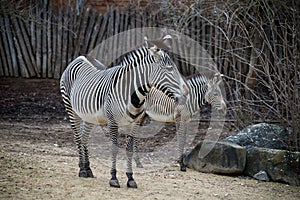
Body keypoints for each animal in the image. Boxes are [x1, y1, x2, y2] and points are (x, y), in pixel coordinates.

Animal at [59, 35, 189, 188]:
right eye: (169, 69)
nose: (186, 94)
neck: (134, 95)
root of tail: (81, 56)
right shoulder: (113, 122)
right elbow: (114, 149)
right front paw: (113, 178)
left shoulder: (133, 123)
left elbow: (129, 150)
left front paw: (130, 178)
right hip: (70, 108)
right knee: (78, 137)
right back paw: (82, 170)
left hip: (89, 115)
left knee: (84, 137)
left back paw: (88, 168)